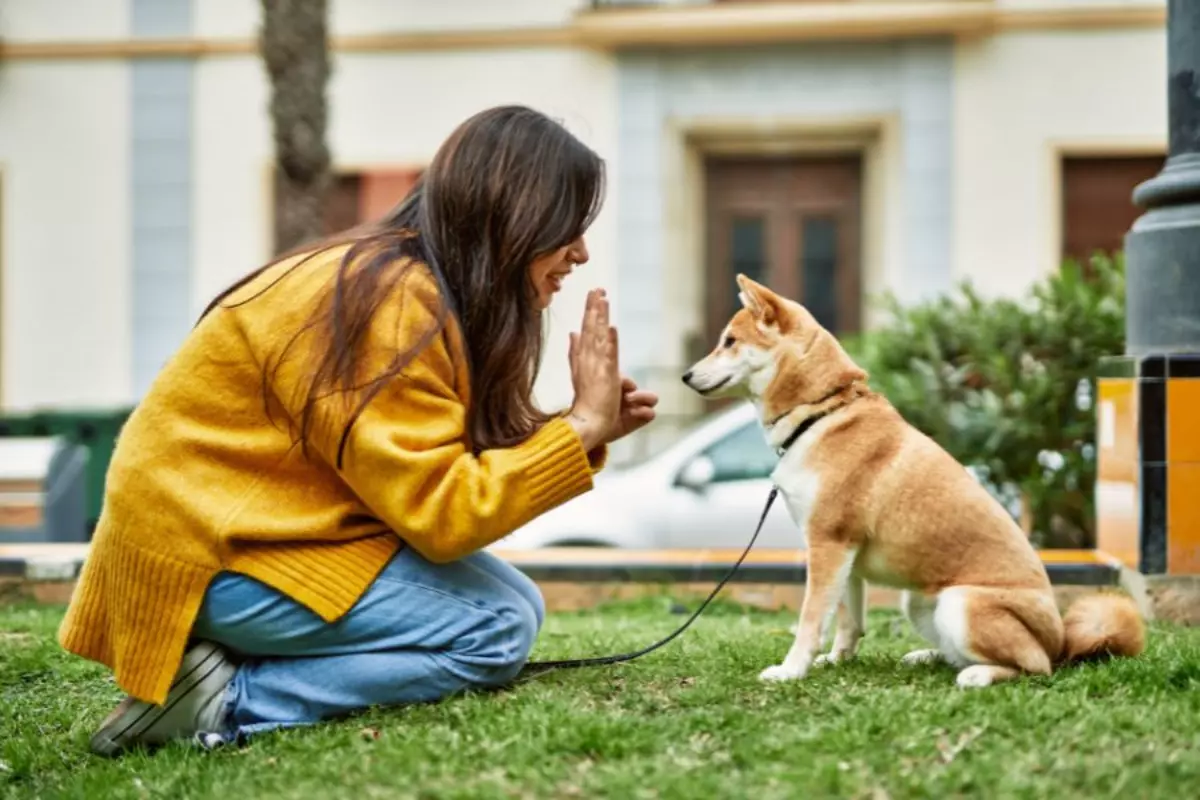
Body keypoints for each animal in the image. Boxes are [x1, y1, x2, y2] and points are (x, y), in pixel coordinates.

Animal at [686, 275, 1142, 690]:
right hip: (920, 601)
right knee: (972, 654)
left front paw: (791, 671)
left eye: (729, 341)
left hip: (962, 603)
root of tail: (1061, 640)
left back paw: (979, 674)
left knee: (1033, 666)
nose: (686, 376)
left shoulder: (828, 544)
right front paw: (837, 661)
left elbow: (810, 621)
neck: (822, 411)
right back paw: (928, 656)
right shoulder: (843, 554)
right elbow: (849, 622)